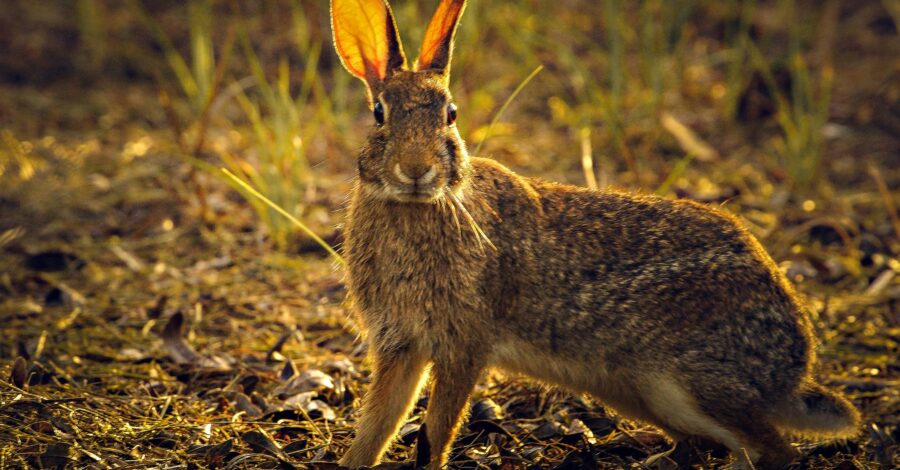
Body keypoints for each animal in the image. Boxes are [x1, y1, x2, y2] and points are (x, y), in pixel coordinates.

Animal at [329, 1, 861, 468]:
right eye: (379, 114)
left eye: (451, 115)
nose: (416, 169)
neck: (419, 206)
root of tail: (792, 370)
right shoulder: (401, 344)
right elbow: (379, 422)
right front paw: (352, 462)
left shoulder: (464, 344)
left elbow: (436, 430)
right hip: (649, 395)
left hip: (692, 385)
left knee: (773, 449)